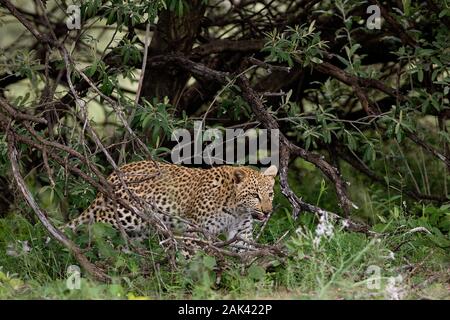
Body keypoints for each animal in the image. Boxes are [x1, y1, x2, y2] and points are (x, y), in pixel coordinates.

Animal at [65, 161, 278, 256]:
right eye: (255, 195)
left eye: (270, 194)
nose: (267, 212)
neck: (236, 209)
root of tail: (115, 173)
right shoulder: (196, 231)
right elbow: (192, 256)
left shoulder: (242, 231)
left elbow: (247, 251)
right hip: (127, 214)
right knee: (98, 222)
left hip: (142, 227)